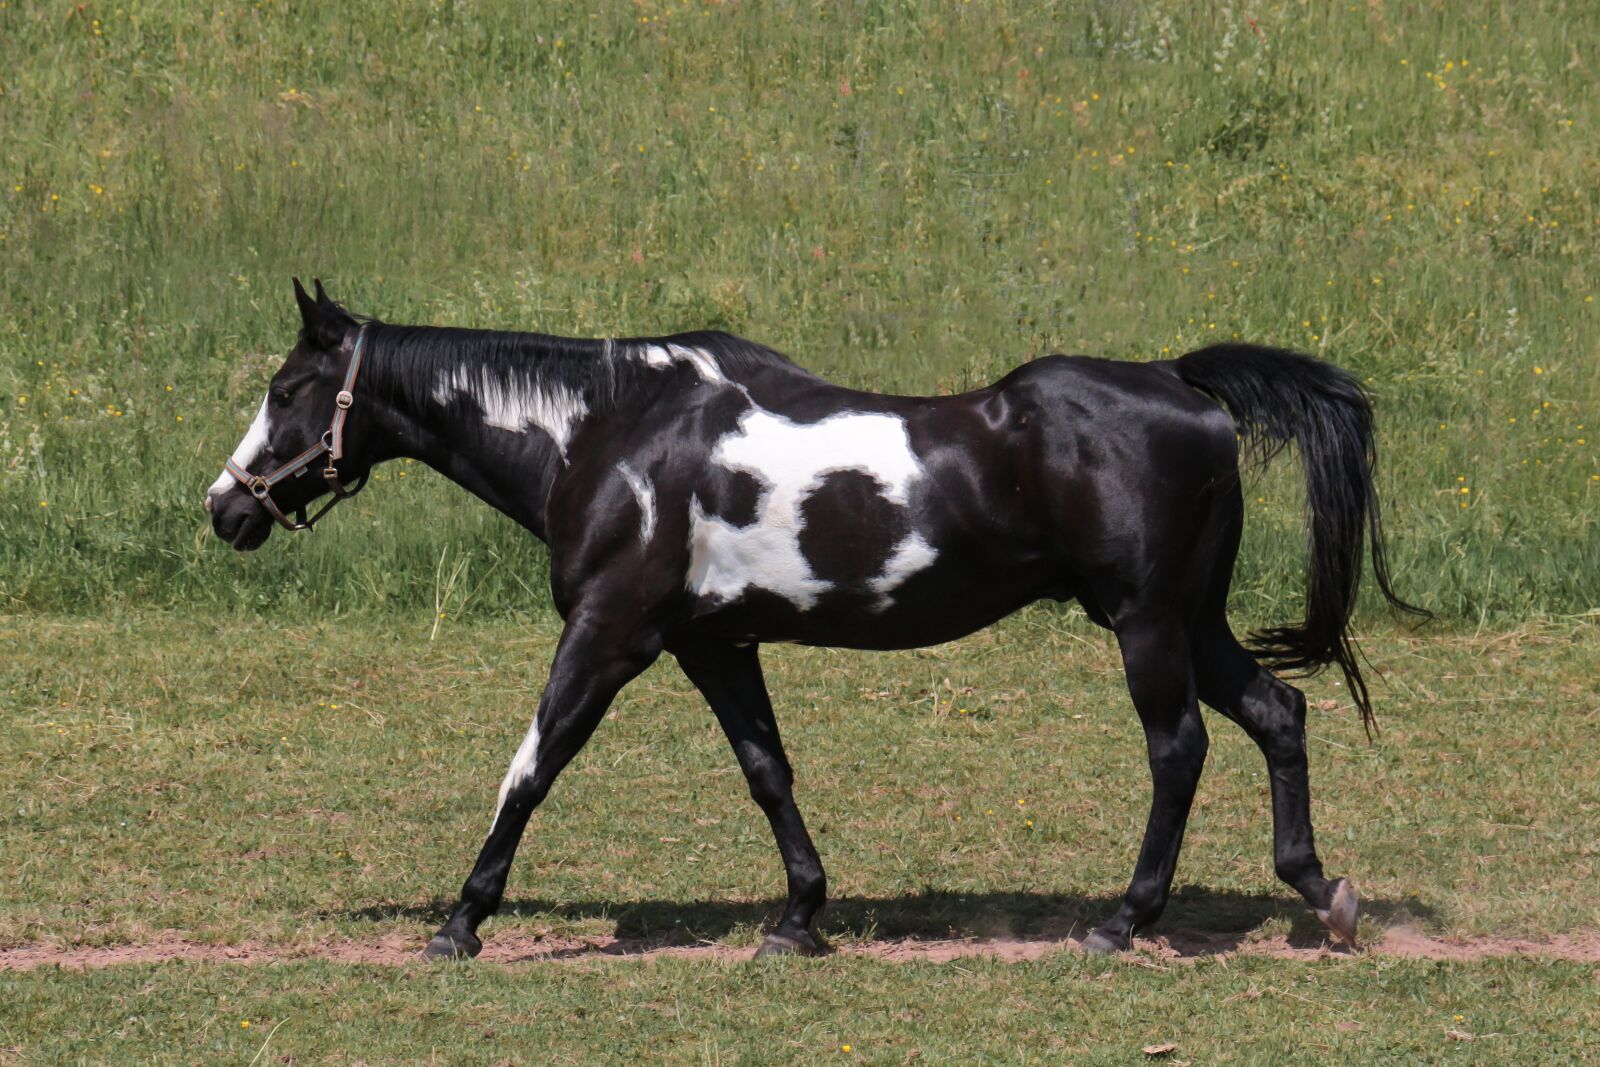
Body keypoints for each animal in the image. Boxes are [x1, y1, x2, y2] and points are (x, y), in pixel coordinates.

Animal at [206, 279, 1421, 960]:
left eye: (286, 389)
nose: (226, 505)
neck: (611, 433)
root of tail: (1181, 383)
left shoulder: (609, 635)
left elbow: (532, 764)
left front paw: (461, 920)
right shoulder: (714, 644)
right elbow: (767, 771)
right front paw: (798, 917)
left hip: (1147, 625)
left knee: (1180, 749)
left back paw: (1125, 920)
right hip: (1192, 620)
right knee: (1279, 712)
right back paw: (1322, 891)